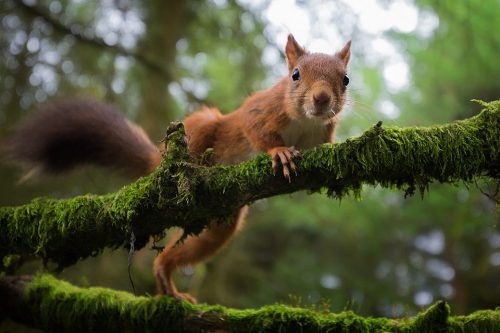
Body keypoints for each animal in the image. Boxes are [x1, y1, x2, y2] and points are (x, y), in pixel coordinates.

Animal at [7, 35, 352, 302]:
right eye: (295, 75)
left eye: (346, 79)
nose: (322, 99)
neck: (305, 121)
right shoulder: (260, 109)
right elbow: (255, 129)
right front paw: (279, 152)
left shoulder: (321, 134)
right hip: (200, 129)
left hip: (221, 225)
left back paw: (165, 277)